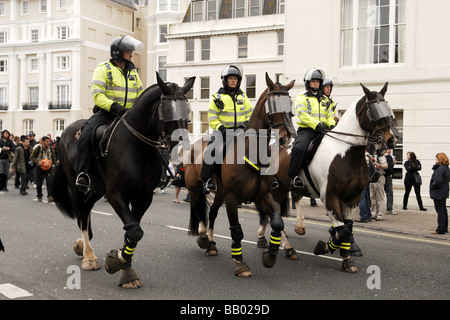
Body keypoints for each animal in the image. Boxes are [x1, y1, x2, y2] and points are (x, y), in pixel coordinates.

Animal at [51, 74, 195, 288]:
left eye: (187, 109)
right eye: (166, 110)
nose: (181, 147)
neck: (136, 148)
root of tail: (67, 130)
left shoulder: (143, 197)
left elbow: (133, 231)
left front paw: (124, 267)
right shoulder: (116, 195)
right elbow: (135, 231)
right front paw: (118, 262)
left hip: (97, 188)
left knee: (86, 209)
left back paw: (83, 245)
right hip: (77, 185)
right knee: (82, 214)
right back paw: (88, 256)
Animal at [185, 74, 298, 276]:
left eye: (290, 103)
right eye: (272, 103)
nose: (287, 137)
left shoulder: (263, 195)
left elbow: (277, 222)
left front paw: (270, 256)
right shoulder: (232, 198)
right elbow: (236, 230)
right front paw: (240, 263)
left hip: (219, 193)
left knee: (212, 212)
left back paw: (211, 244)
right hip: (196, 189)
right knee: (199, 210)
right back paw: (204, 237)